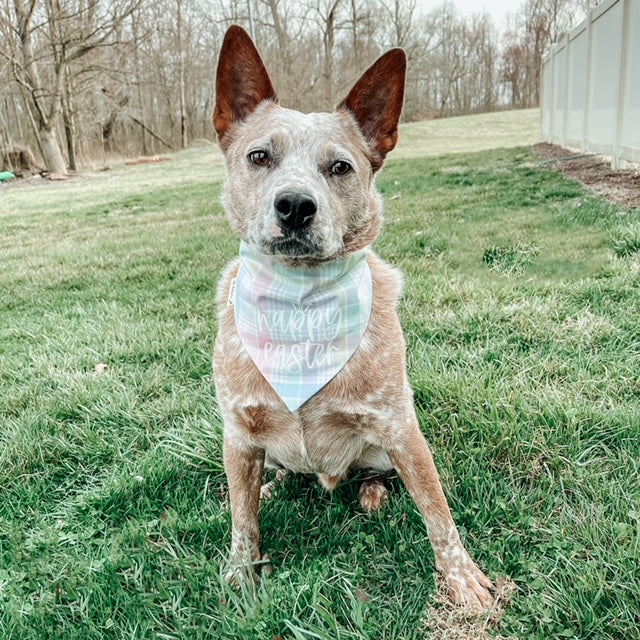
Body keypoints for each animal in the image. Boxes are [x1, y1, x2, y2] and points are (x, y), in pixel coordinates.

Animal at [212, 25, 492, 608]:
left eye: (339, 167)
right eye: (259, 156)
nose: (296, 205)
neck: (300, 309)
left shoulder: (400, 427)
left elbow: (438, 513)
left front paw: (462, 579)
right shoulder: (238, 432)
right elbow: (243, 520)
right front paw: (242, 574)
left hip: (386, 448)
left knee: (378, 474)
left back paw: (370, 491)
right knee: (268, 478)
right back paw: (274, 483)